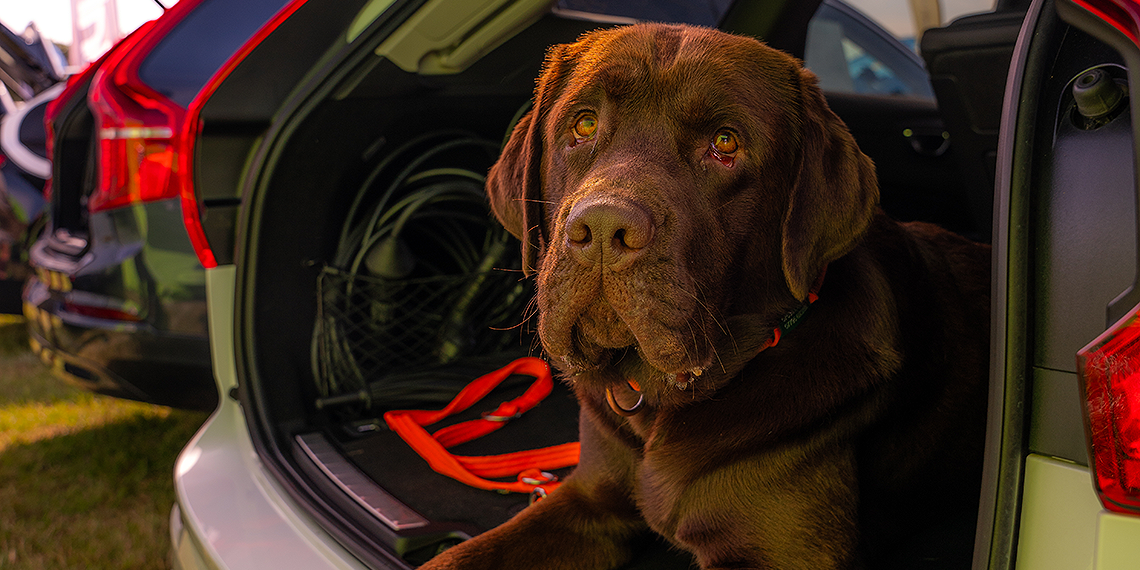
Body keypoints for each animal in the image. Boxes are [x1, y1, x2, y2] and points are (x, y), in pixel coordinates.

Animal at [419, 22, 989, 570]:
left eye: (725, 142)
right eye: (583, 125)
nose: (601, 229)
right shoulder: (588, 503)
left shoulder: (790, 554)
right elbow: (455, 558)